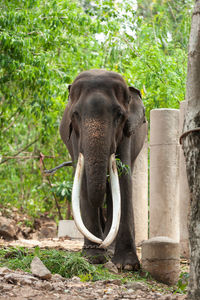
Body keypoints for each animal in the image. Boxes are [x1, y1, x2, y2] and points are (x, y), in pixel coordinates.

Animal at [59, 69, 147, 270]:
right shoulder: (75, 137)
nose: (99, 244)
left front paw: (127, 266)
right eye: (75, 114)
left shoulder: (126, 133)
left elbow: (123, 179)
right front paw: (93, 258)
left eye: (119, 115)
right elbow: (83, 180)